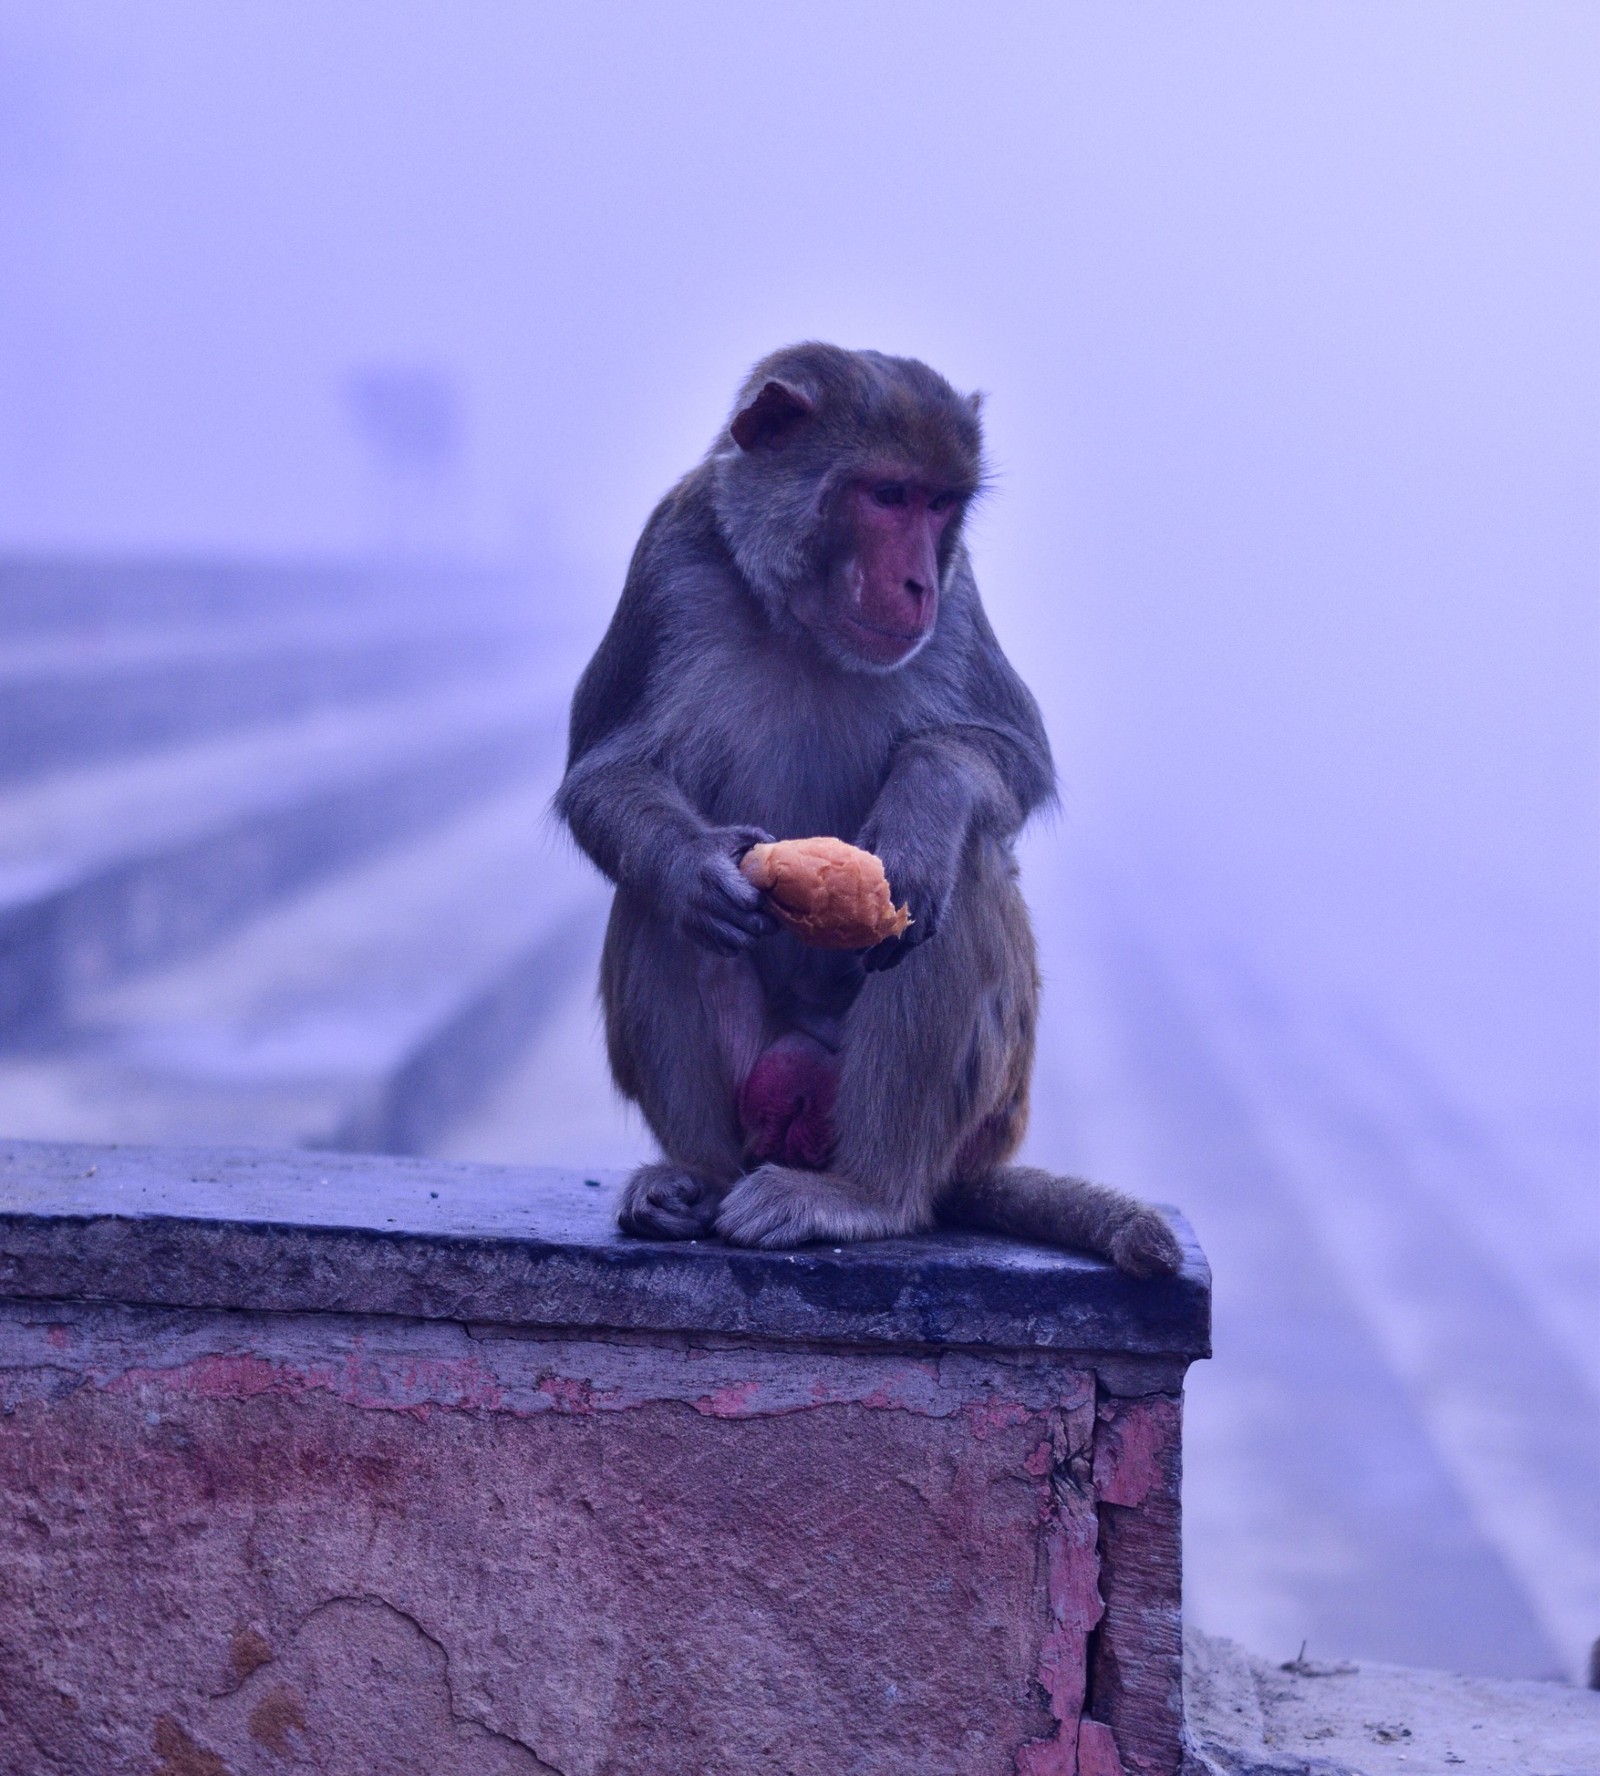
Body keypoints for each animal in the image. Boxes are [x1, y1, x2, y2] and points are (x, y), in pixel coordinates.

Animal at [556, 343, 1183, 1277]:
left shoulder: (959, 610)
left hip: (981, 1111)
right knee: (653, 907)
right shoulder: (669, 560)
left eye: (940, 503)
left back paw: (867, 1196)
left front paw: (923, 804)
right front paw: (692, 869)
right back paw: (694, 1178)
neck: (799, 625)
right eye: (888, 496)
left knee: (958, 877)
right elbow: (606, 775)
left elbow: (1011, 756)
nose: (919, 582)